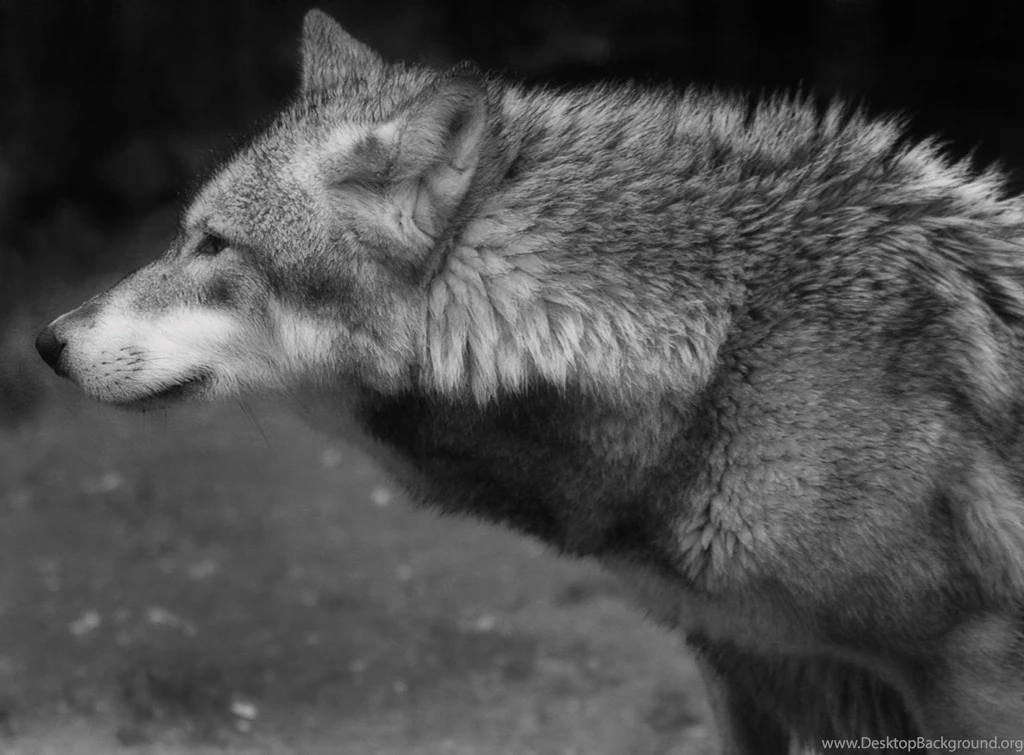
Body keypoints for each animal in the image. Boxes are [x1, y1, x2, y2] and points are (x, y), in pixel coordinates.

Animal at [35, 8, 1024, 752]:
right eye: (185, 234)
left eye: (216, 245)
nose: (46, 340)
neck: (725, 350)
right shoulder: (737, 659)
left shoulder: (965, 671)